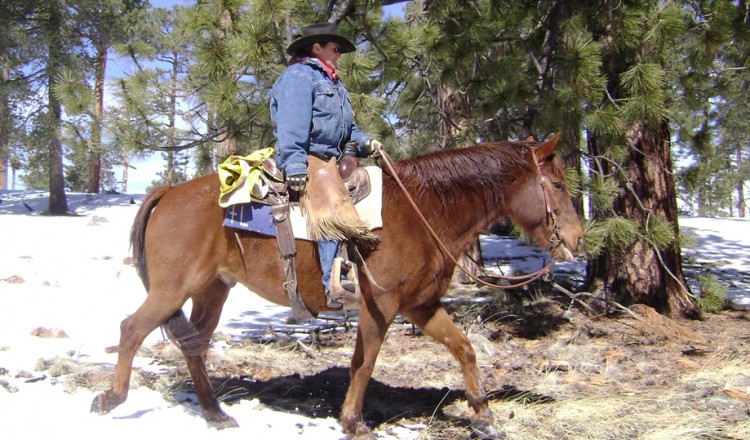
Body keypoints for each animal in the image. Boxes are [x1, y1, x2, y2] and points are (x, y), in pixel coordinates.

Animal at [91, 135, 588, 440]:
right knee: (132, 329)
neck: (423, 210)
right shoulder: (380, 304)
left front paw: (484, 416)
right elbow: (363, 363)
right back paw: (112, 399)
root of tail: (169, 193)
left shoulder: (422, 304)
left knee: (195, 345)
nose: (578, 239)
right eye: (558, 184)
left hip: (213, 289)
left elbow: (464, 348)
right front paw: (353, 422)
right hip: (173, 288)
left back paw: (215, 413)